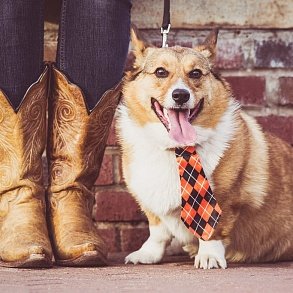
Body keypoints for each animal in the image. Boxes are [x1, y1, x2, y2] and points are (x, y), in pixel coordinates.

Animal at [116, 28, 292, 268]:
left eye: (196, 73)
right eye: (160, 72)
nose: (181, 95)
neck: (177, 149)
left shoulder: (222, 199)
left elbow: (211, 228)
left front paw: (209, 256)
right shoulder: (151, 202)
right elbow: (157, 230)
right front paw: (148, 253)